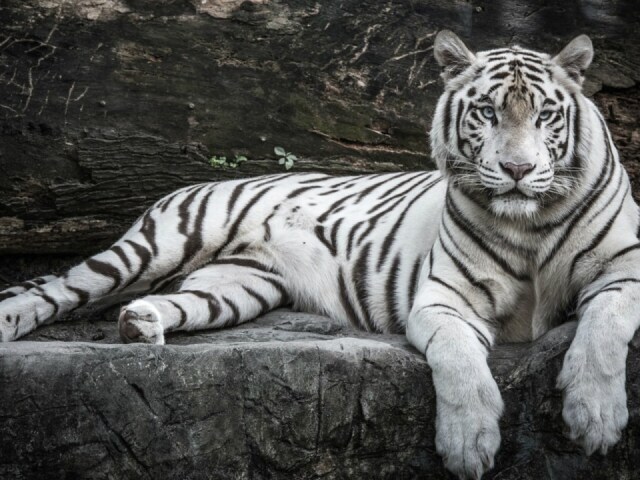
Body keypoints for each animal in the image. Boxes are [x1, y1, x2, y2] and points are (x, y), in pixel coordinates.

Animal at [1, 31, 640, 478]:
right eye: (487, 112)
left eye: (545, 115)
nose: (518, 170)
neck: (529, 223)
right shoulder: (444, 300)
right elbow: (459, 363)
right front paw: (468, 444)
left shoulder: (625, 270)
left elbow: (606, 327)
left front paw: (595, 418)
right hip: (161, 243)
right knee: (56, 286)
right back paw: (16, 320)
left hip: (236, 289)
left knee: (171, 303)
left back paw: (140, 326)